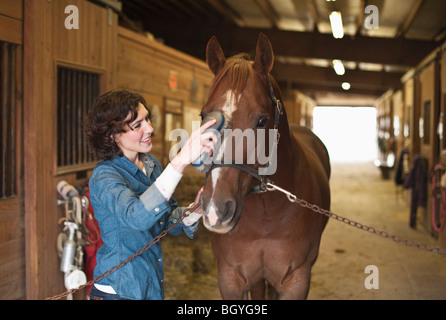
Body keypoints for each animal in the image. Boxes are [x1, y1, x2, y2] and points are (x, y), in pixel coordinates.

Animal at [199, 33, 332, 298]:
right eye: (203, 116)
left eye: (262, 120)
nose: (216, 209)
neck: (266, 216)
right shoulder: (230, 278)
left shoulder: (296, 281)